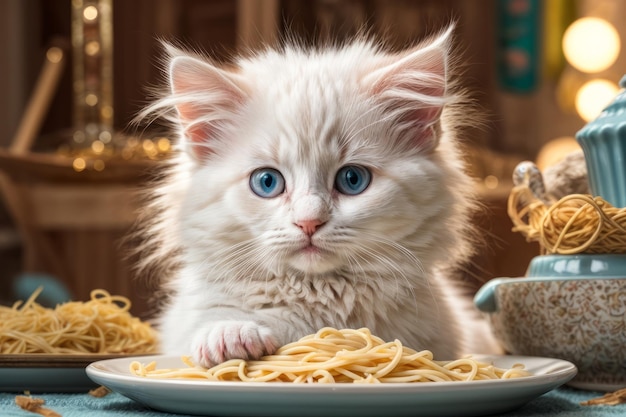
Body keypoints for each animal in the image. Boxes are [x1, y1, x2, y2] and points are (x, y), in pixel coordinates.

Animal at [139, 27, 494, 366]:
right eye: (267, 182)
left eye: (352, 180)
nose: (309, 222)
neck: (315, 302)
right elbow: (215, 321)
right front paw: (231, 335)